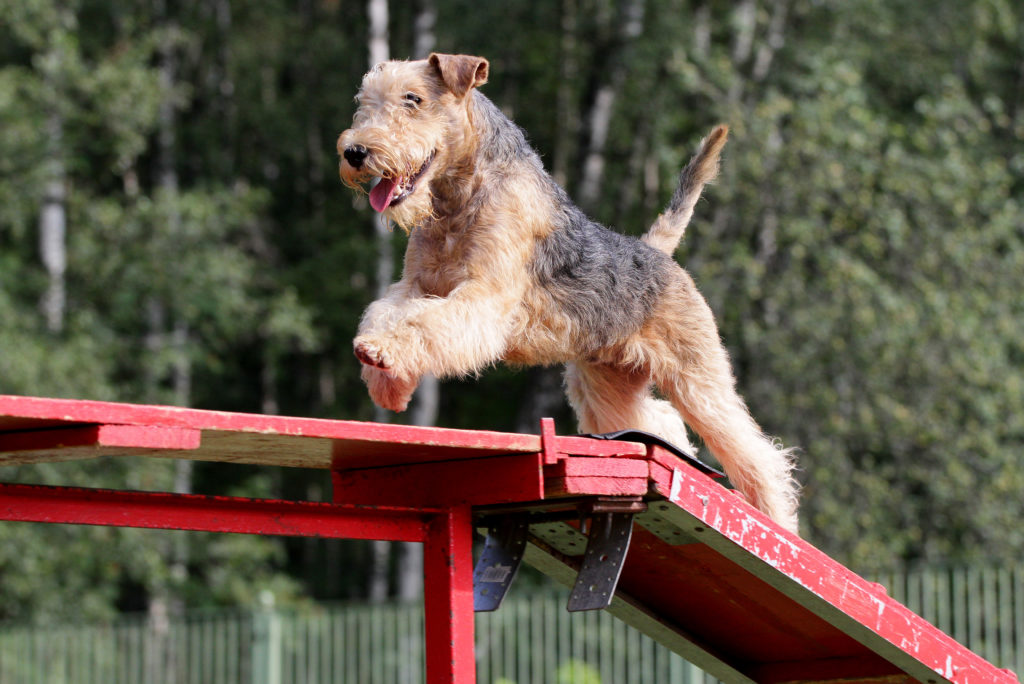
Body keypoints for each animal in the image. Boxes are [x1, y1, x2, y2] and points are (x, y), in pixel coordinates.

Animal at [335, 54, 798, 532]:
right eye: (364, 101)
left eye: (413, 99)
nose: (354, 152)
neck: (458, 196)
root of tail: (656, 251)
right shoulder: (413, 285)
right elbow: (386, 313)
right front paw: (385, 380)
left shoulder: (483, 298)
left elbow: (424, 324)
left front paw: (384, 355)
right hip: (606, 385)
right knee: (660, 421)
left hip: (697, 377)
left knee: (758, 455)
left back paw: (779, 522)